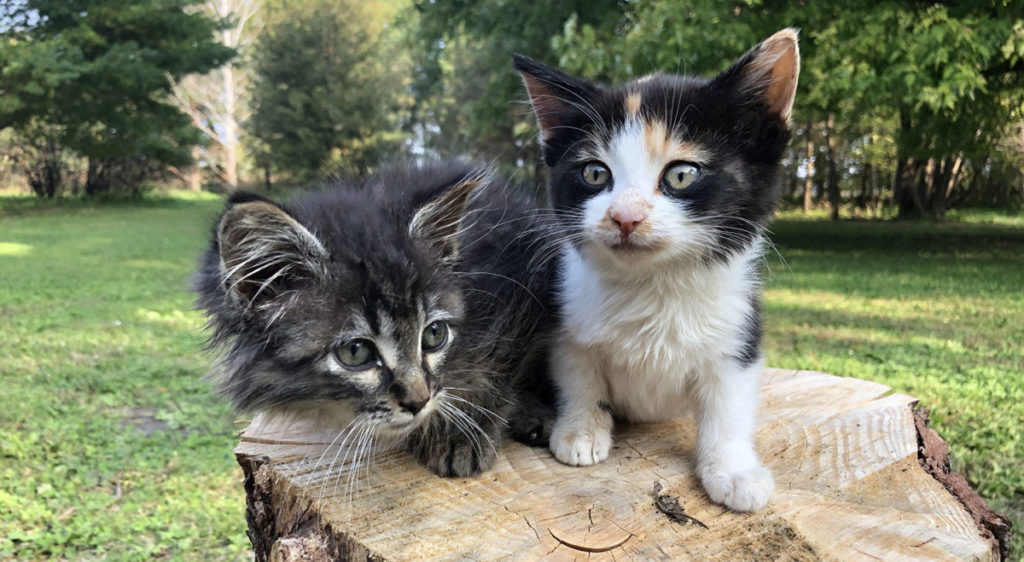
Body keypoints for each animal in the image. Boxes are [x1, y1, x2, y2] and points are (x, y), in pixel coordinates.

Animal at [196, 160, 557, 477]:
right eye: (355, 352)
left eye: (434, 334)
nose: (419, 401)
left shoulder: (521, 291)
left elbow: (498, 369)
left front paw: (460, 432)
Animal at [512, 30, 798, 511]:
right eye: (594, 173)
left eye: (682, 175)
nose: (625, 217)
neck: (654, 282)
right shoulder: (566, 318)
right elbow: (578, 375)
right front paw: (581, 429)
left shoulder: (739, 327)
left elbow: (729, 402)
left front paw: (733, 468)